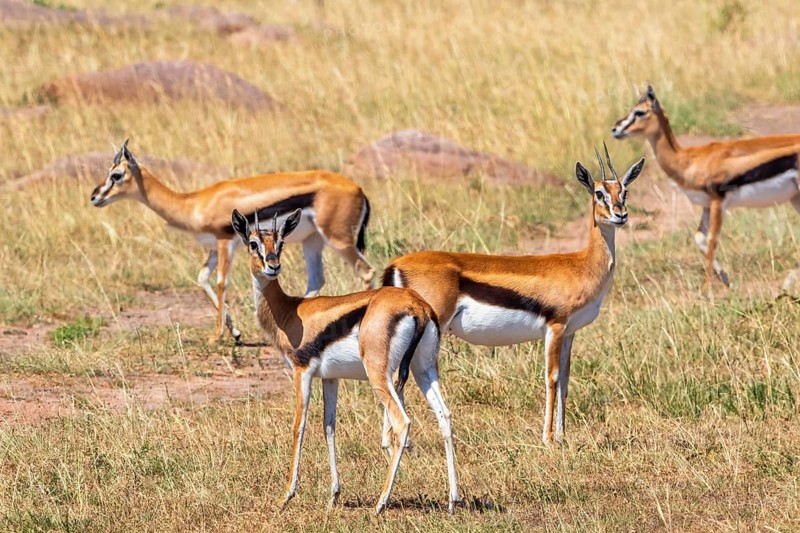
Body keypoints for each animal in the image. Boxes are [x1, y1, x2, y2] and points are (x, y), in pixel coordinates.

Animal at [90, 140, 376, 342]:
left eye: (116, 175)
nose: (95, 197)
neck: (194, 203)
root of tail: (359, 190)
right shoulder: (214, 248)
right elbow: (202, 279)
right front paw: (235, 333)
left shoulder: (224, 241)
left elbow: (220, 282)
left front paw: (217, 336)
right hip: (312, 241)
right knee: (316, 280)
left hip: (338, 240)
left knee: (366, 270)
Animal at [232, 208, 459, 514]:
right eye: (254, 243)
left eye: (280, 243)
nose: (272, 265)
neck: (290, 311)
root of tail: (417, 306)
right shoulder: (330, 377)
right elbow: (329, 428)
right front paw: (334, 495)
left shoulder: (302, 373)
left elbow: (299, 427)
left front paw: (286, 496)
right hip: (423, 370)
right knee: (444, 416)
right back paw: (452, 500)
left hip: (380, 376)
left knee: (402, 423)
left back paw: (381, 502)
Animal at [383, 146, 645, 446]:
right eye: (599, 192)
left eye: (624, 191)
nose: (621, 214)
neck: (582, 265)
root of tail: (396, 264)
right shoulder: (555, 328)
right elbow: (552, 378)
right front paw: (548, 439)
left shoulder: (570, 332)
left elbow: (566, 380)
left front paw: (562, 436)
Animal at [612, 85, 800, 292]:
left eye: (639, 112)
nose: (615, 129)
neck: (688, 160)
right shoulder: (706, 205)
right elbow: (699, 238)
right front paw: (728, 282)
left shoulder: (718, 202)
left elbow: (711, 241)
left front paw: (706, 288)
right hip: (795, 198)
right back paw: (787, 283)